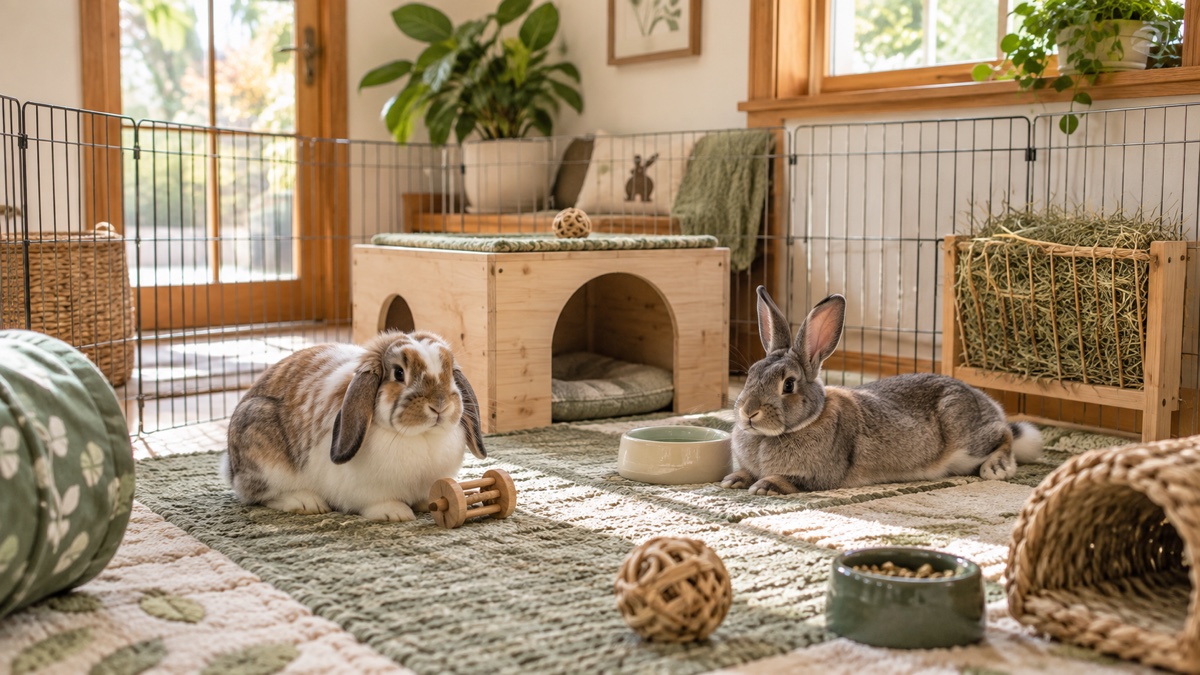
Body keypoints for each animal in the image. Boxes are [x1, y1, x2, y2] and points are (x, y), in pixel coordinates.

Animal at [221, 330, 486, 521]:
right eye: (399, 373)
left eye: (450, 372)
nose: (439, 405)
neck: (421, 436)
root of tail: (230, 468)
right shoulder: (367, 491)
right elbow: (378, 503)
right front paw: (396, 513)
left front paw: (425, 504)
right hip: (263, 452)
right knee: (259, 494)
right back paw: (306, 503)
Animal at [721, 286, 1043, 496]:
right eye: (751, 374)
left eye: (788, 384)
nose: (749, 412)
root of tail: (989, 405)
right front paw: (733, 480)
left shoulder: (819, 475)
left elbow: (791, 481)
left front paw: (765, 486)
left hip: (966, 440)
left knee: (1004, 434)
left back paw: (997, 468)